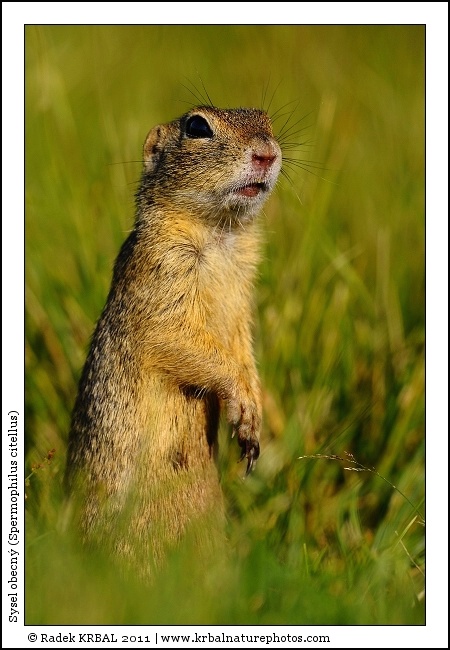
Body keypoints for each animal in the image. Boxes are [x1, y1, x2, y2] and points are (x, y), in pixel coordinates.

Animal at [65, 105, 282, 569]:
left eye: (266, 119)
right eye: (197, 126)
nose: (268, 154)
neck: (222, 234)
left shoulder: (242, 302)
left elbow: (244, 349)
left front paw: (254, 416)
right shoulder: (164, 277)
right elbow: (180, 342)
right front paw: (241, 402)